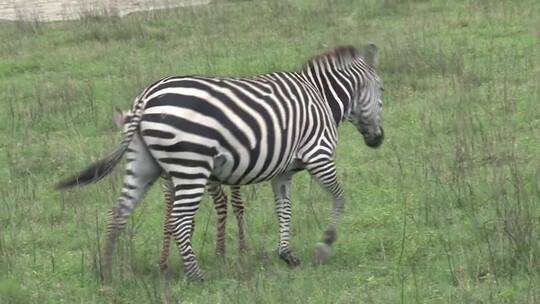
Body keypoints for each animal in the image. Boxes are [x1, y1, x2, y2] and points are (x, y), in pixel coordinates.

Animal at [56, 44, 384, 282]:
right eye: (381, 91)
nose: (378, 140)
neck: (323, 97)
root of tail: (145, 98)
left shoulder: (282, 173)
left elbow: (284, 210)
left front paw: (287, 255)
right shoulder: (319, 155)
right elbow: (339, 197)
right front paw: (326, 244)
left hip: (145, 165)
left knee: (118, 213)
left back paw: (107, 275)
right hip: (190, 167)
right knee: (179, 220)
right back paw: (197, 276)